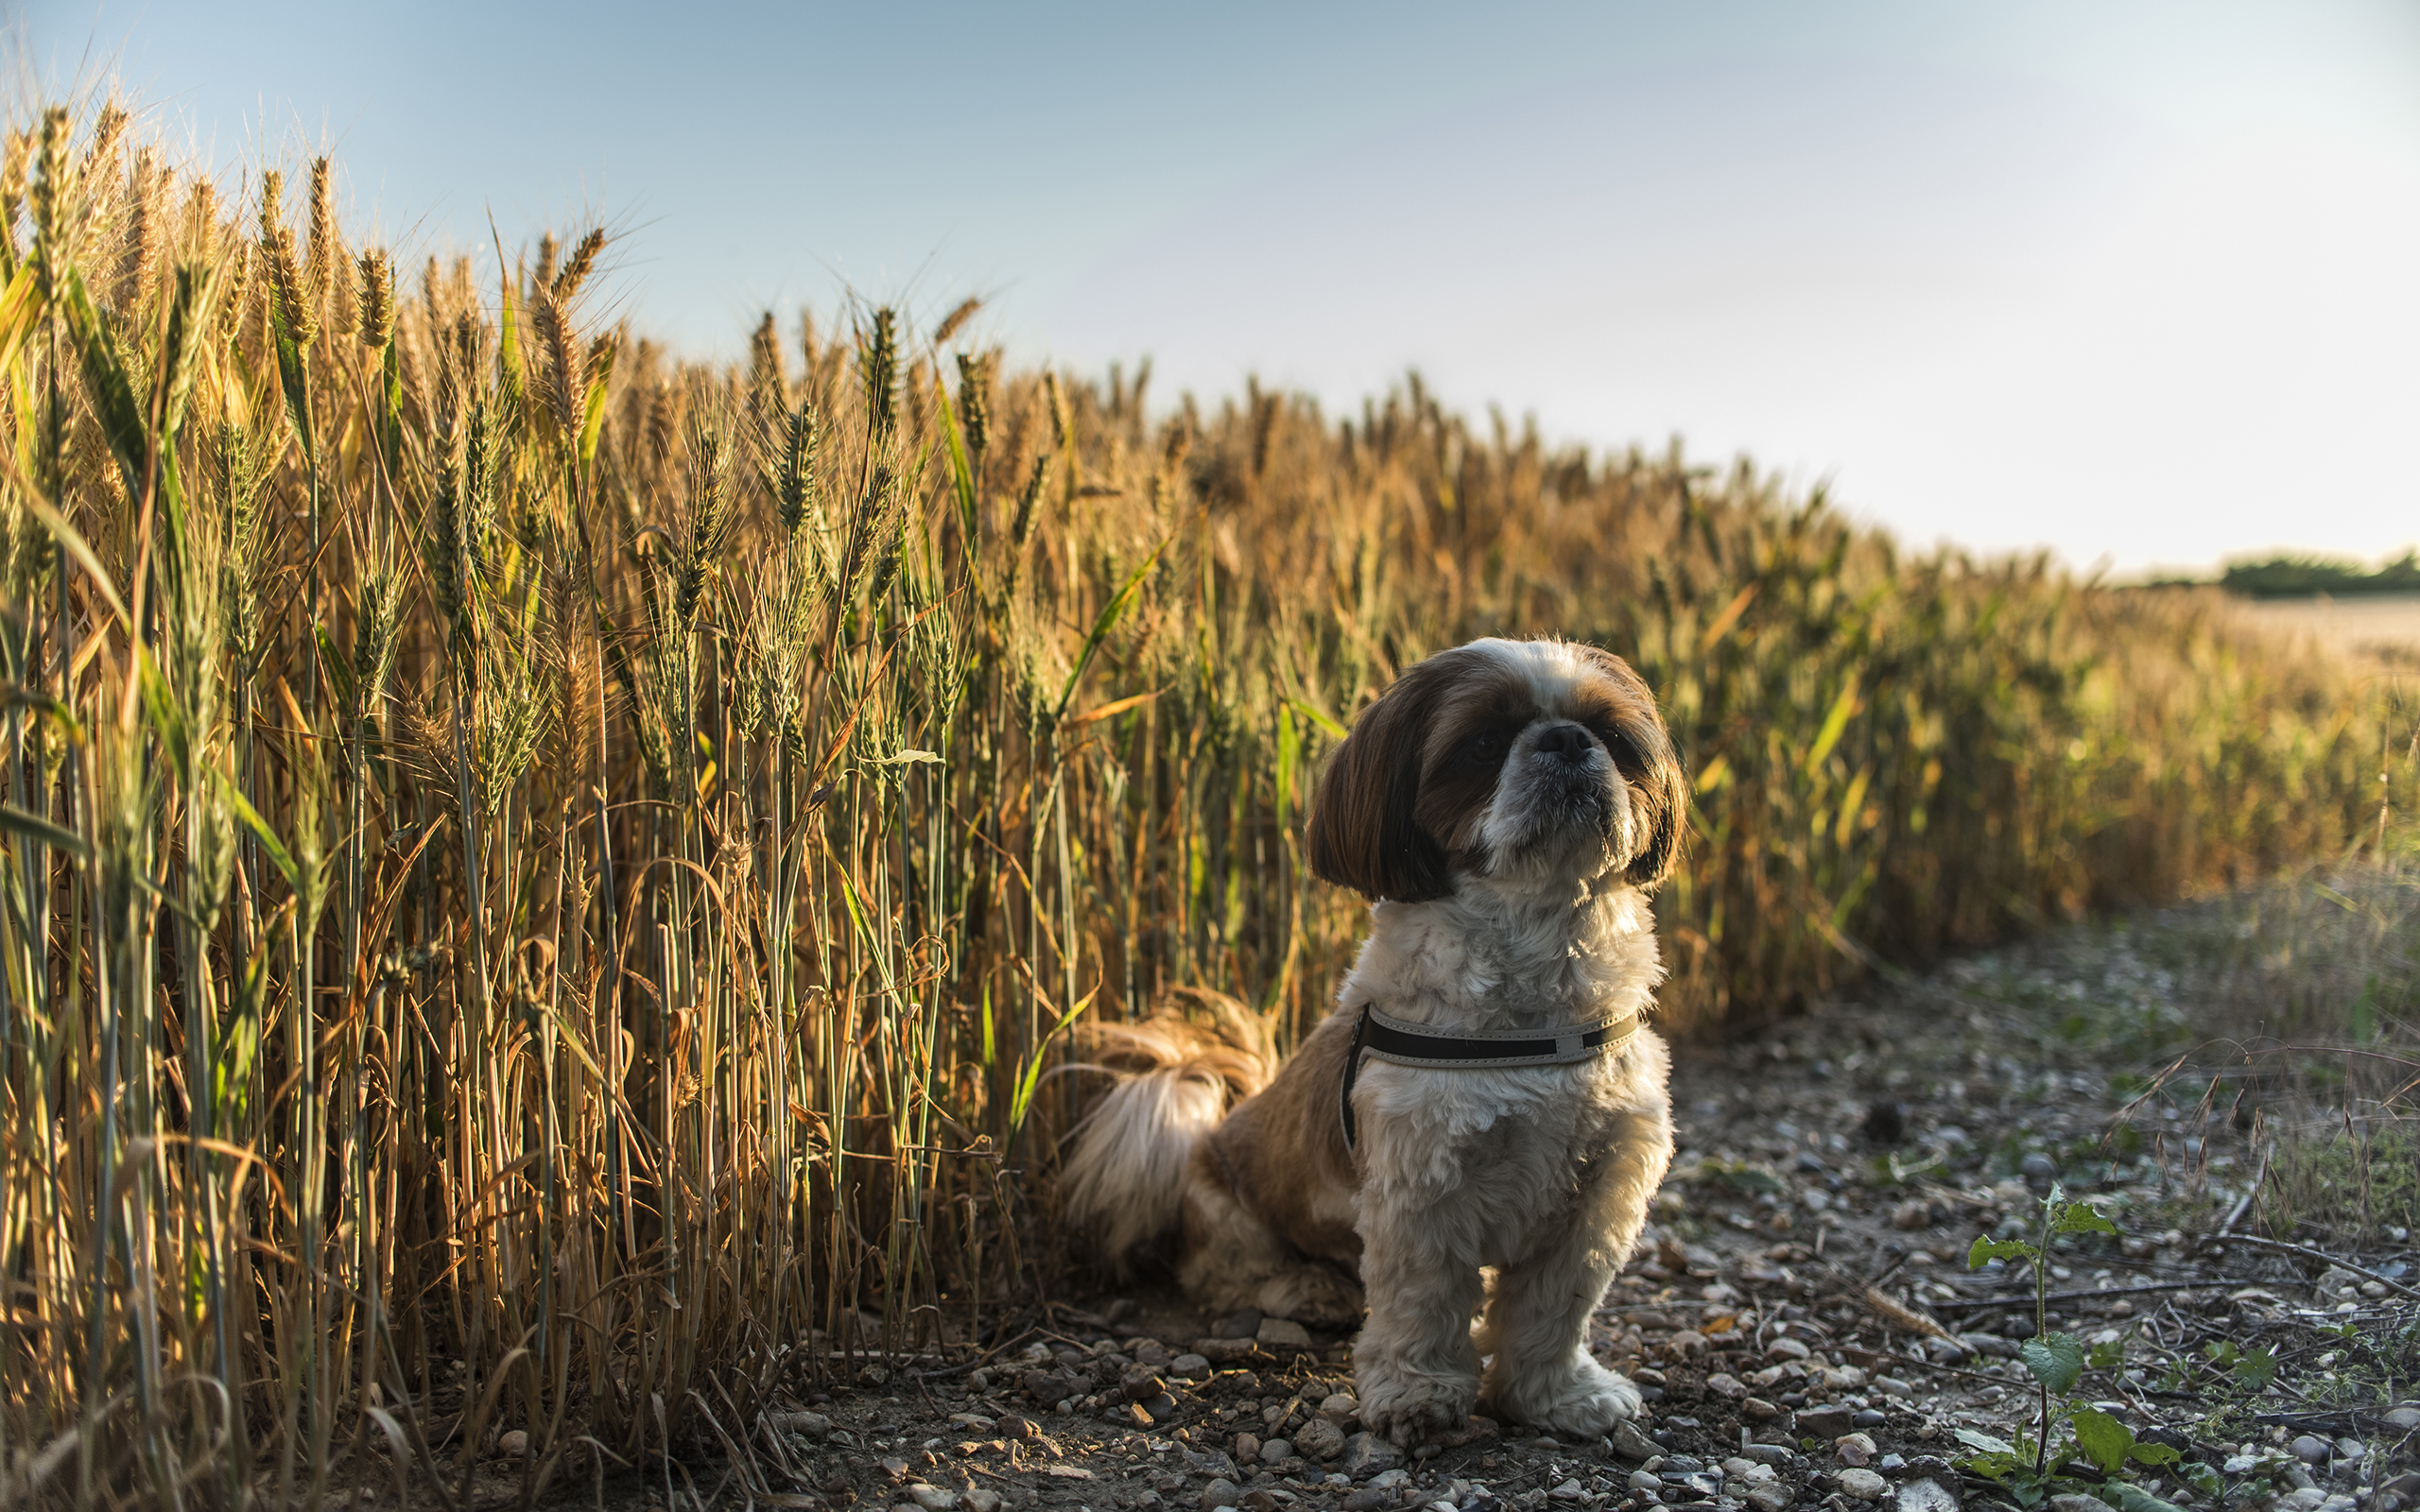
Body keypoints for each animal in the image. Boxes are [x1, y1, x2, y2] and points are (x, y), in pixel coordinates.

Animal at [1064, 633, 1684, 1441]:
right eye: (1483, 742)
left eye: (1610, 734)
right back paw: (1305, 1288)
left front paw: (1554, 1396)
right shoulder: (1423, 1185)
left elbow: (1554, 1308)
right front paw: (1419, 1396)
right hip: (1223, 1204)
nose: (1566, 740)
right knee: (1224, 1273)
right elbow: (1424, 1303)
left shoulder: (1599, 1191)